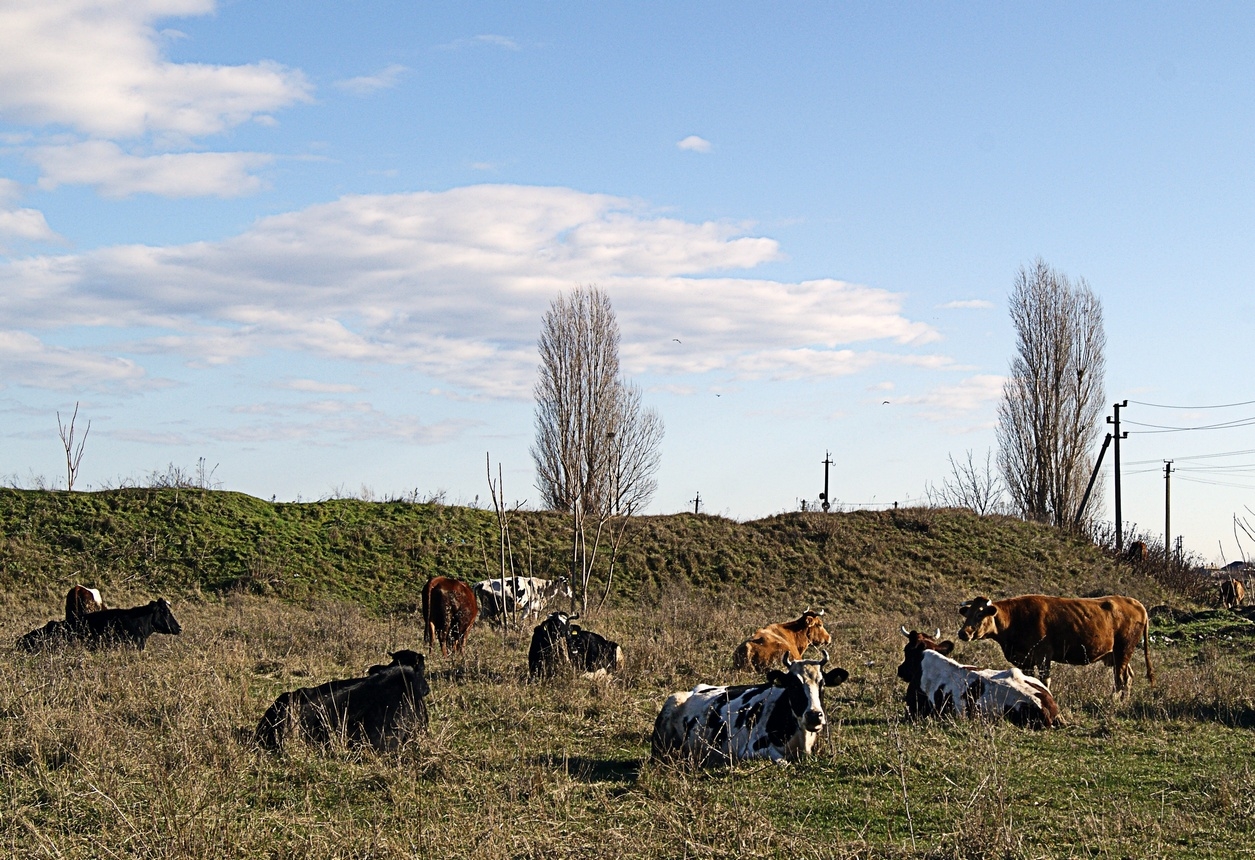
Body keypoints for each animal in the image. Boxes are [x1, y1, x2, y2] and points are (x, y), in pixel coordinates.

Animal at [647, 652, 853, 763]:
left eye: (822, 684)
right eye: (794, 685)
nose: (814, 715)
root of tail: (694, 690)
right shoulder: (749, 751)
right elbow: (783, 762)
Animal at [953, 592, 1149, 693]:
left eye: (979, 614)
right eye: (967, 613)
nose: (963, 633)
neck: (1016, 618)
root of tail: (1136, 604)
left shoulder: (1043, 655)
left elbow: (1044, 680)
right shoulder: (1025, 660)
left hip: (1123, 651)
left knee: (1120, 680)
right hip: (1116, 655)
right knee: (1128, 677)